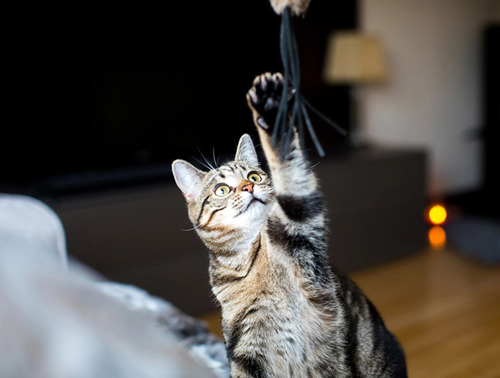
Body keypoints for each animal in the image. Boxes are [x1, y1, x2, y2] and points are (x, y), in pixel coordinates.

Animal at [172, 72, 406, 376]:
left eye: (254, 176)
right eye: (222, 190)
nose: (248, 187)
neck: (252, 259)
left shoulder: (305, 239)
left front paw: (272, 110)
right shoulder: (245, 348)